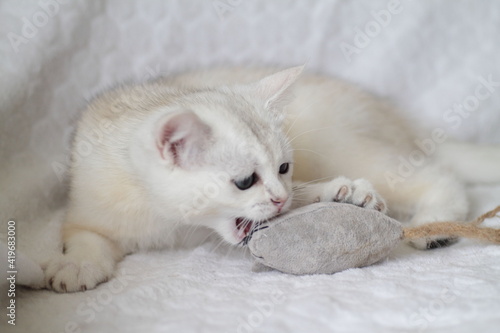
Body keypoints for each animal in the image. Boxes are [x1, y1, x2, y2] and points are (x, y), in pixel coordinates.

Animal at [44, 67, 500, 290]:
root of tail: (395, 119)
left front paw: (346, 192)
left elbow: (302, 197)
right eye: (245, 181)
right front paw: (78, 263)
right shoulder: (88, 202)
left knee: (437, 174)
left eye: (283, 168)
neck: (174, 223)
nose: (279, 196)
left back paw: (434, 223)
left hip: (347, 144)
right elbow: (84, 235)